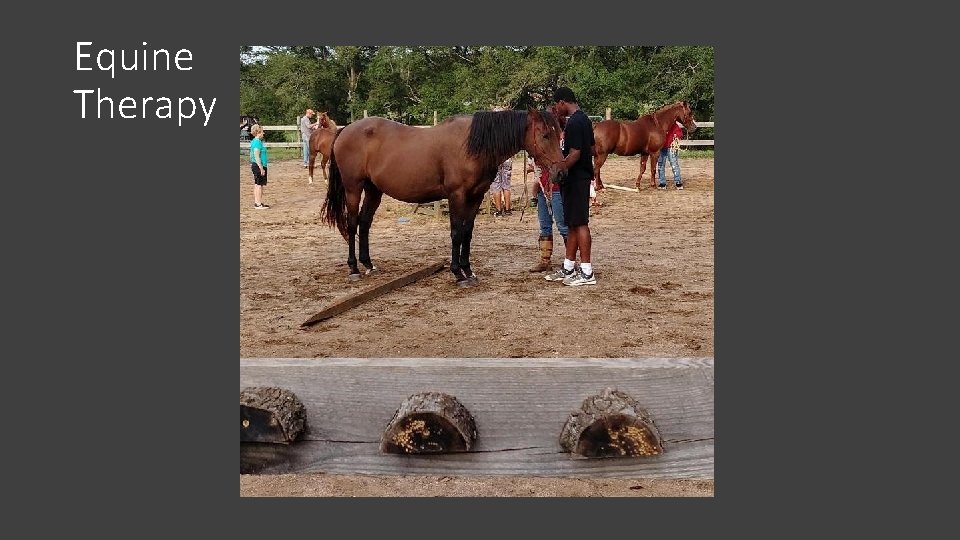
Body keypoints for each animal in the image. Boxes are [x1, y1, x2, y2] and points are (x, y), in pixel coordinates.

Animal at [318, 107, 568, 288]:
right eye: (545, 135)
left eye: (558, 133)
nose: (560, 172)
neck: (472, 146)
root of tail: (345, 130)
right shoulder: (457, 195)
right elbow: (456, 232)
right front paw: (458, 274)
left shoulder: (476, 196)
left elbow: (467, 233)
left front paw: (469, 271)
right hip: (353, 187)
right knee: (352, 224)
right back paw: (354, 269)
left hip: (373, 190)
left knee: (364, 222)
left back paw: (368, 264)